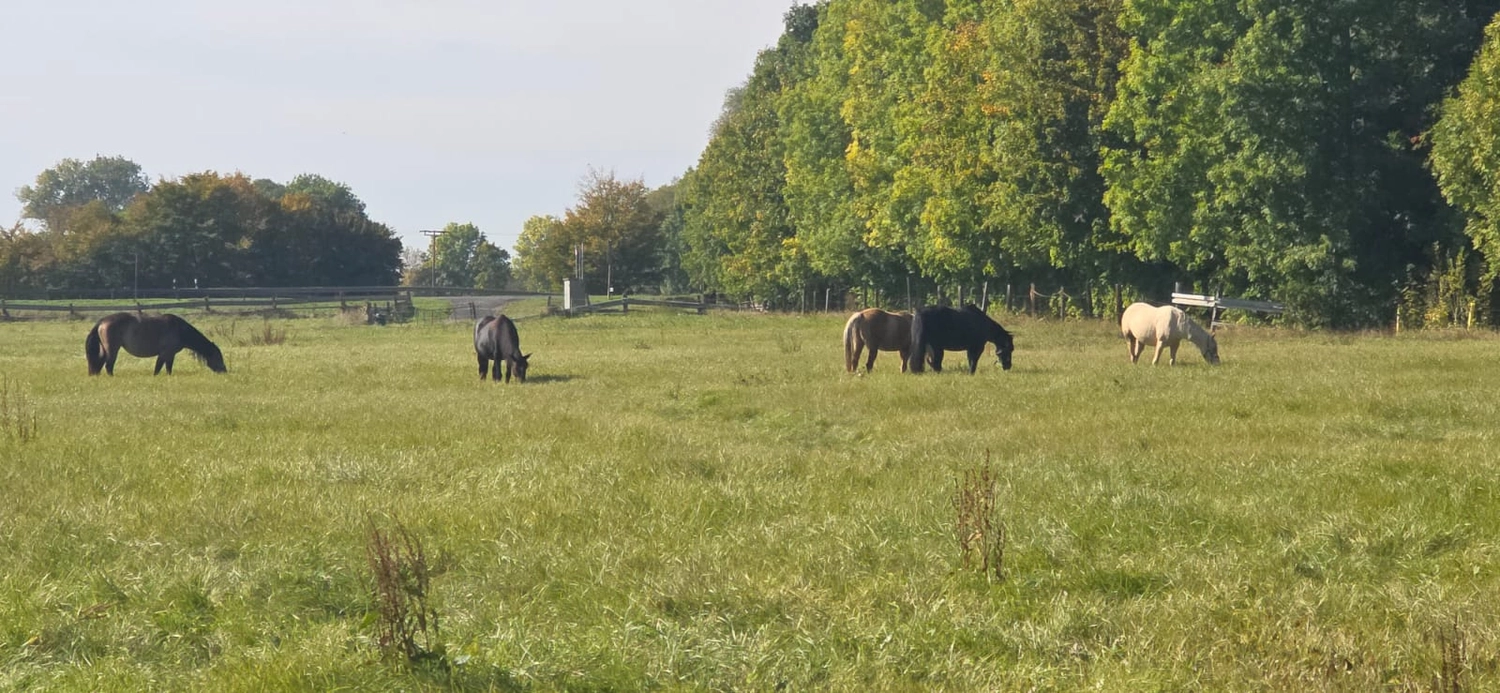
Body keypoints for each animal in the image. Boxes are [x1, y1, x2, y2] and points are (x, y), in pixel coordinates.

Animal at [85, 312, 227, 376]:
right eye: (218, 357)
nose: (224, 371)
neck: (179, 330)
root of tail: (103, 321)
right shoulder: (165, 353)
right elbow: (159, 368)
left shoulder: (169, 355)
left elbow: (167, 368)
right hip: (112, 349)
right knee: (108, 365)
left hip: (104, 349)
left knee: (100, 362)